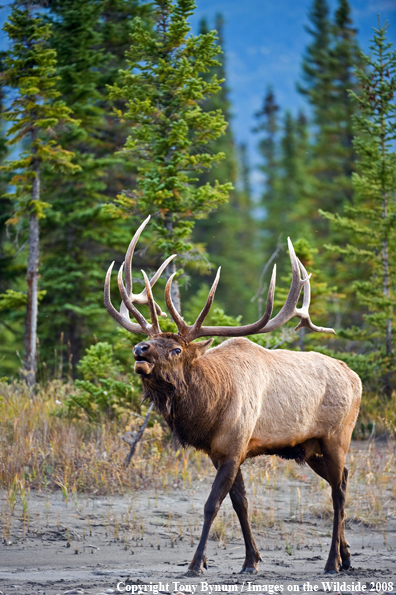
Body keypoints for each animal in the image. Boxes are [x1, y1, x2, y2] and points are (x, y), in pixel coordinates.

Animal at [104, 218, 362, 576]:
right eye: (151, 340)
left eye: (176, 349)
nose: (139, 349)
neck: (209, 411)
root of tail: (357, 378)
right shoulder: (222, 452)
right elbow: (241, 502)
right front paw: (251, 561)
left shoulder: (234, 446)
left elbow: (212, 504)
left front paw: (196, 563)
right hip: (309, 448)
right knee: (345, 479)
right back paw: (347, 556)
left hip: (337, 436)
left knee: (338, 490)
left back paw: (332, 562)